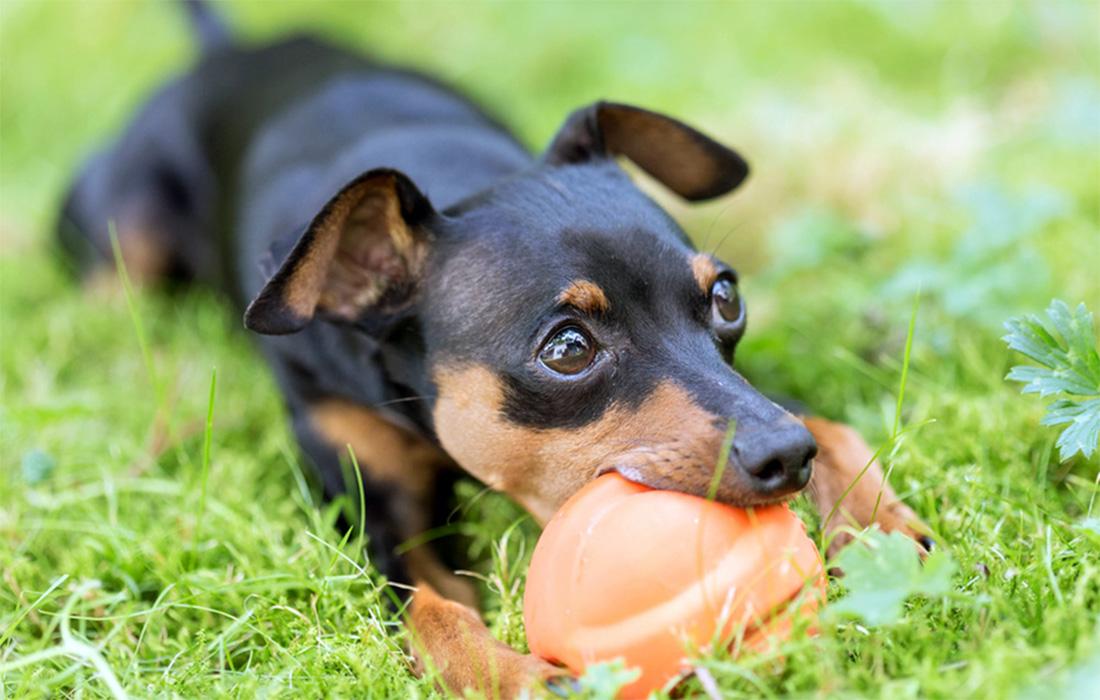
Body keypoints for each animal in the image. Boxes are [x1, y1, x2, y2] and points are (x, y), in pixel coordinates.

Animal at [60, 4, 932, 695]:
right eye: (568, 348)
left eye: (725, 297)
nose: (786, 455)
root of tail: (226, 49)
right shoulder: (373, 515)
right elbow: (431, 607)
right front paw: (513, 675)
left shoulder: (754, 388)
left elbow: (832, 422)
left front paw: (876, 523)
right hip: (122, 230)